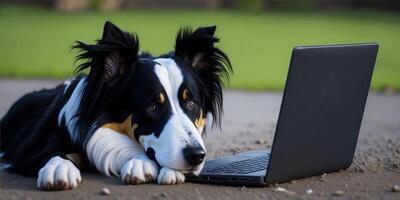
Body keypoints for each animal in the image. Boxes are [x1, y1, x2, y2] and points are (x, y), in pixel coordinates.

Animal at [0, 21, 231, 190]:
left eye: (191, 102)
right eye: (152, 106)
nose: (196, 156)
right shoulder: (27, 149)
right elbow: (50, 152)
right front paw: (59, 167)